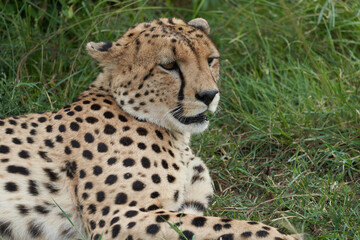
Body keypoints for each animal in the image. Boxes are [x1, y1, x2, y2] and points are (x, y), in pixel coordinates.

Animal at [0, 17, 304, 239]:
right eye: (168, 65)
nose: (209, 95)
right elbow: (232, 226)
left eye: (210, 60)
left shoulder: (186, 201)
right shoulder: (118, 218)